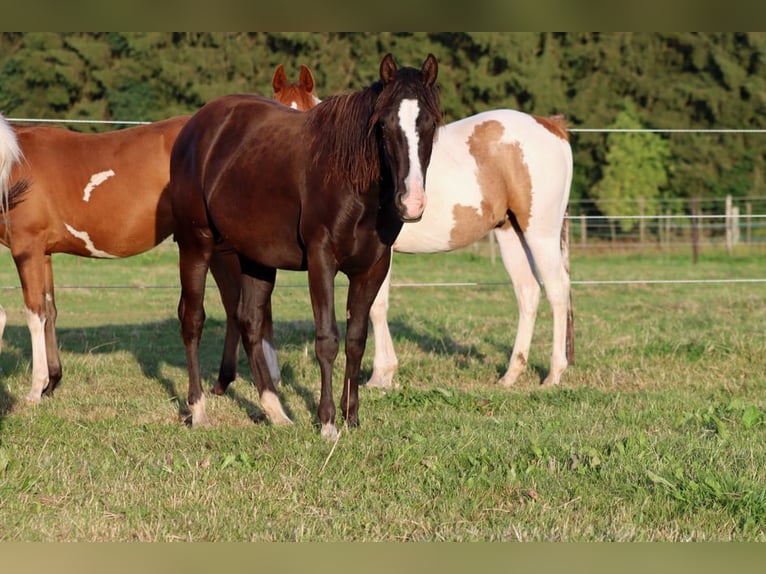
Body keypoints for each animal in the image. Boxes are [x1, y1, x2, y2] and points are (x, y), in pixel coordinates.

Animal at [0, 65, 316, 404]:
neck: (13, 164)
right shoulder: (43, 252)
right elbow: (50, 310)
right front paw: (52, 381)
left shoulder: (27, 249)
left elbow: (34, 314)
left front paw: (35, 389)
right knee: (237, 305)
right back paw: (229, 381)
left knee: (240, 305)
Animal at [169, 53, 441, 439]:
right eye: (384, 124)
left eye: (430, 123)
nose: (412, 203)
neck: (351, 181)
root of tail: (194, 128)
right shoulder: (321, 259)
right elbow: (327, 339)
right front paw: (327, 421)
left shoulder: (372, 268)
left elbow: (356, 341)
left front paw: (351, 417)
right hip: (197, 244)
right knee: (193, 320)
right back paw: (198, 410)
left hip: (256, 258)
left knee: (250, 321)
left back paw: (274, 410)